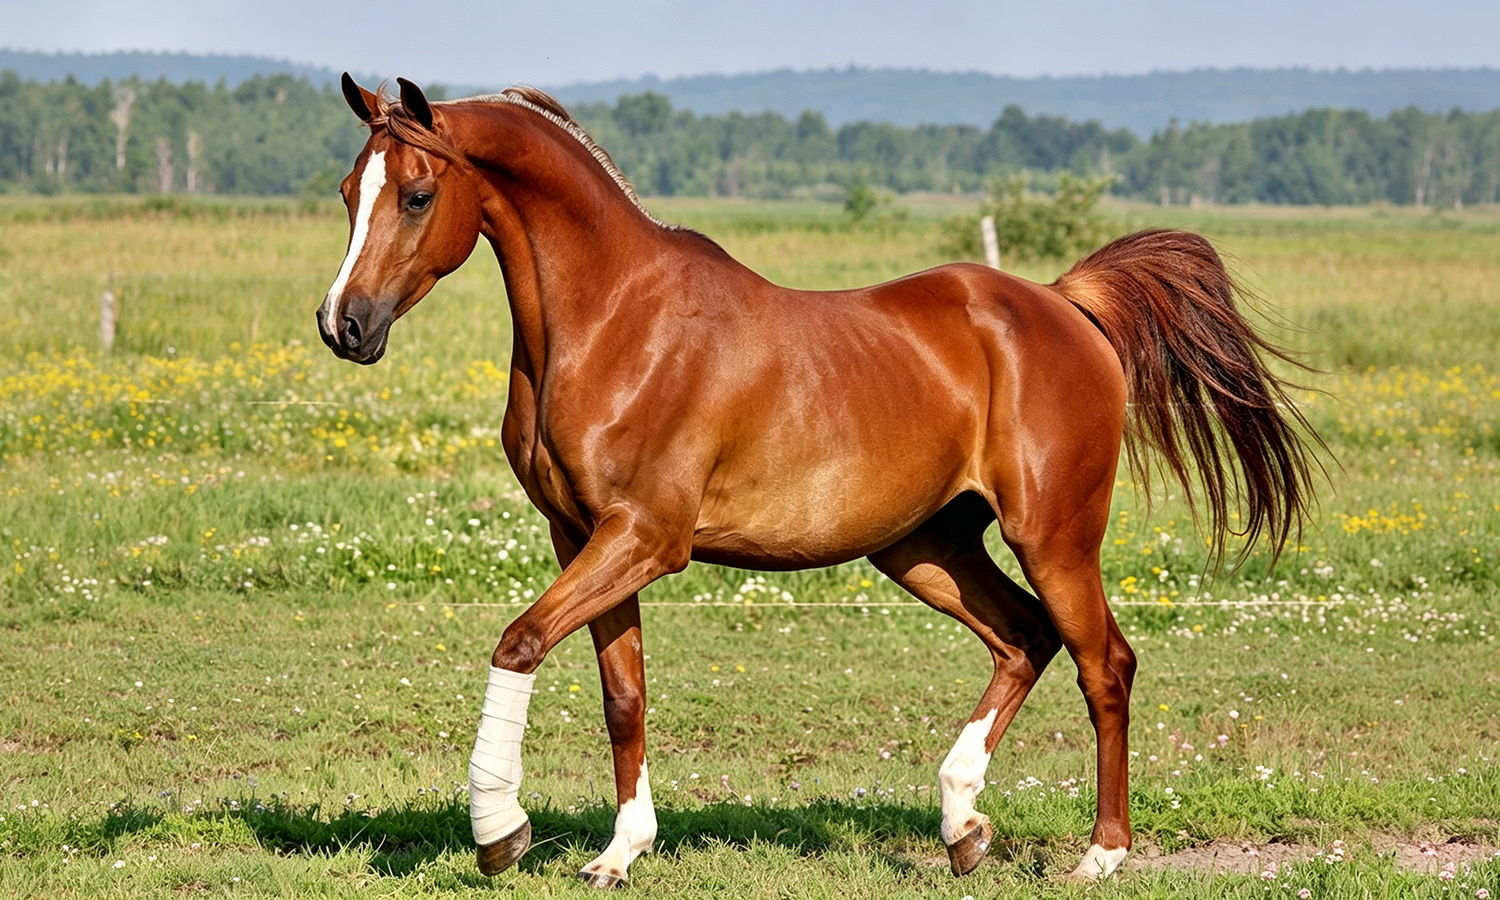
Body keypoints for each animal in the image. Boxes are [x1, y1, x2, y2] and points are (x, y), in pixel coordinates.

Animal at [316, 74, 1318, 887]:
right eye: (348, 192)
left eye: (417, 194)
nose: (343, 326)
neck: (612, 322)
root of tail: (1064, 304)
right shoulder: (584, 537)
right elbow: (622, 695)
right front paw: (618, 853)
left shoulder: (645, 538)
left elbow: (519, 642)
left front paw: (500, 833)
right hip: (924, 547)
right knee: (1023, 639)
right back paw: (962, 824)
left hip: (1054, 536)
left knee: (1103, 662)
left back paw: (1102, 853)